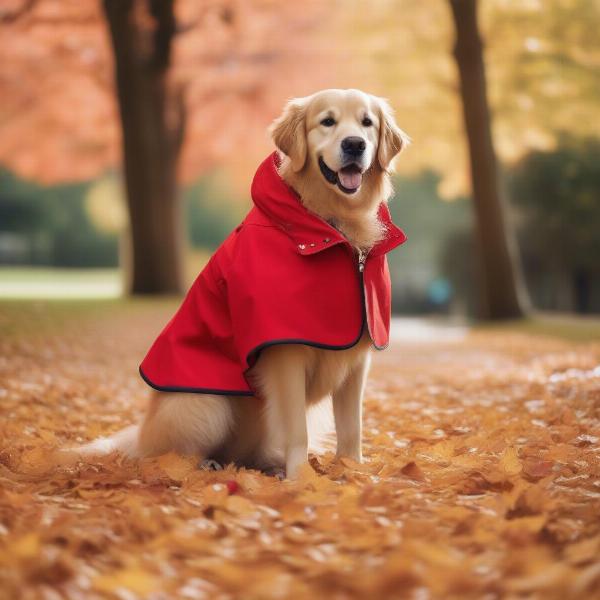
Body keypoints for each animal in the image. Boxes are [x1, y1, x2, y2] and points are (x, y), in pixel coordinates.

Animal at [74, 88, 408, 478]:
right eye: (327, 121)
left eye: (367, 123)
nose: (355, 144)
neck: (333, 229)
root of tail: (141, 435)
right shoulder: (285, 354)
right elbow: (296, 429)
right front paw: (301, 480)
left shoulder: (356, 361)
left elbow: (352, 427)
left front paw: (353, 472)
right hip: (204, 406)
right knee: (168, 456)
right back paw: (207, 466)